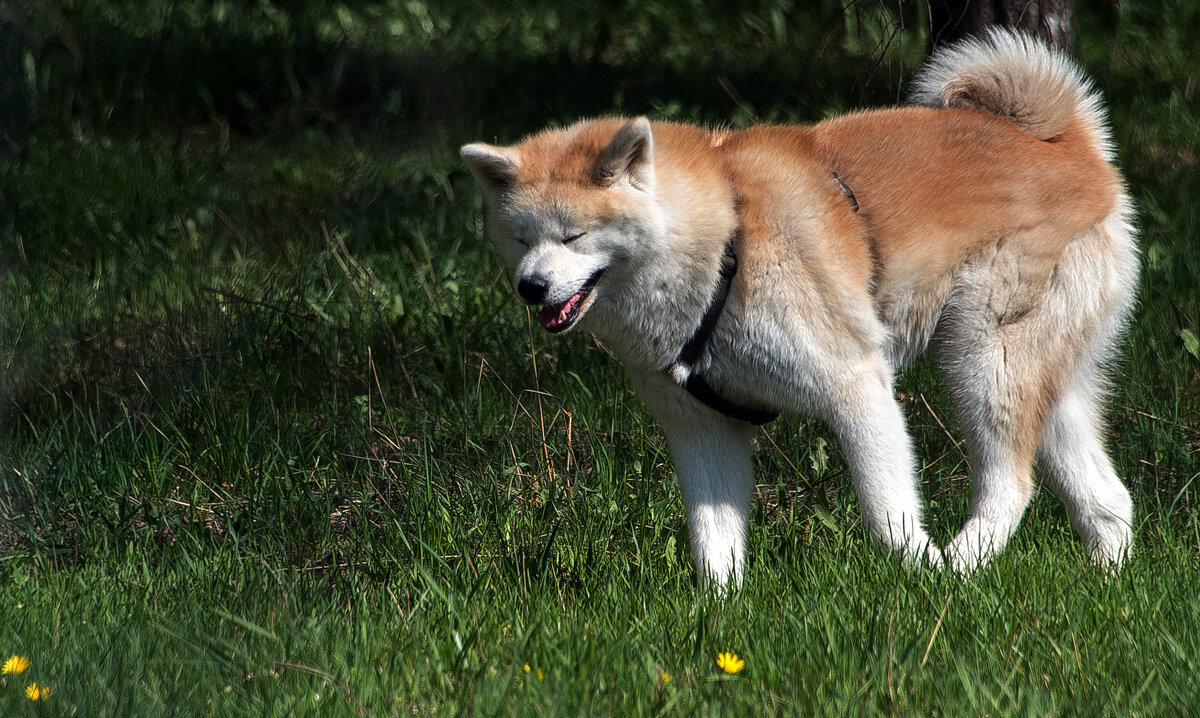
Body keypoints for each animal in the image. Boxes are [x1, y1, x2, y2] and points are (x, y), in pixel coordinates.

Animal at [456, 30, 1132, 588]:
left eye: (573, 236)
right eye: (520, 238)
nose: (531, 287)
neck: (724, 243)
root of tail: (1067, 145)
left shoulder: (858, 389)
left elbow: (888, 517)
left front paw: (918, 578)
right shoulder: (702, 429)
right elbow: (714, 547)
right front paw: (718, 618)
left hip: (981, 361)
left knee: (1010, 485)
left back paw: (958, 568)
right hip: (1044, 380)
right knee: (1108, 500)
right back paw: (1108, 582)